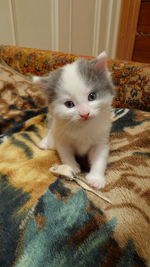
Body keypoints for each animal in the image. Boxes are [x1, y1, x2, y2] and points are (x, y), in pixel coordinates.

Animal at [33, 52, 115, 189]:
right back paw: (44, 143)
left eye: (92, 96)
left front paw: (96, 179)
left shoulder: (101, 140)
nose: (84, 114)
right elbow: (66, 154)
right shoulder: (62, 139)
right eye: (69, 104)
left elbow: (100, 158)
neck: (83, 127)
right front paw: (71, 167)